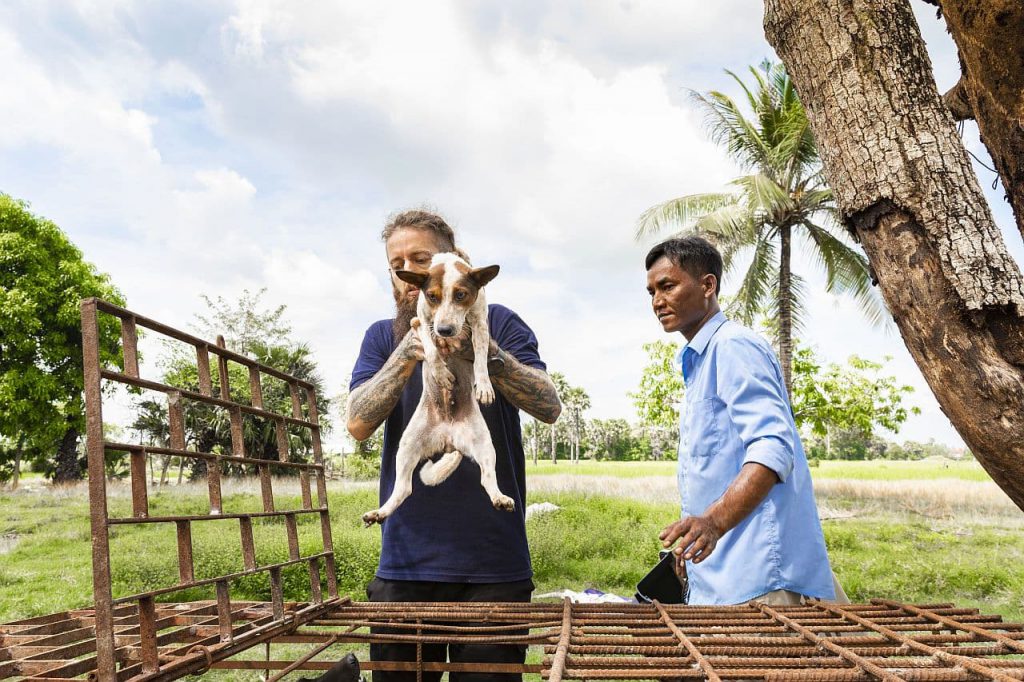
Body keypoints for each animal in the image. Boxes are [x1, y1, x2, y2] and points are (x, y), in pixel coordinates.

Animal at [364, 251, 516, 522]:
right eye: (432, 296)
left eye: (461, 295)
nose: (445, 330)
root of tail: (449, 439)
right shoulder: (422, 321)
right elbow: (431, 349)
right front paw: (441, 373)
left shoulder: (480, 323)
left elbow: (480, 357)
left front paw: (484, 385)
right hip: (407, 447)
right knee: (404, 489)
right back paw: (380, 513)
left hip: (485, 446)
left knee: (487, 479)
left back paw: (500, 498)